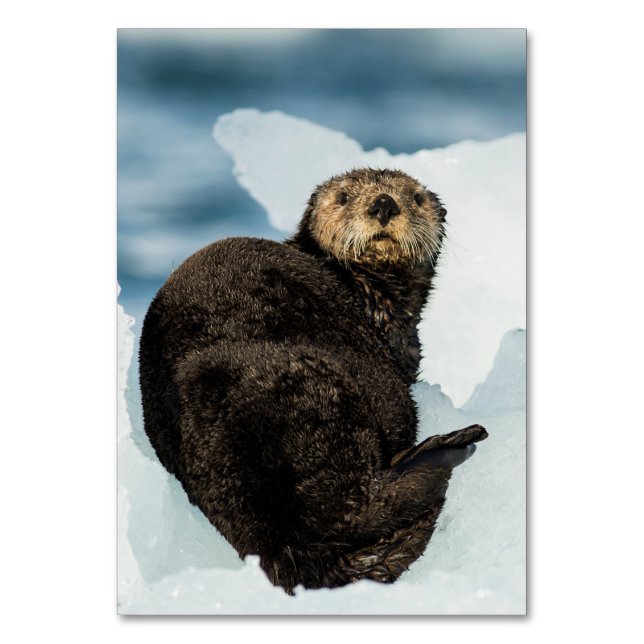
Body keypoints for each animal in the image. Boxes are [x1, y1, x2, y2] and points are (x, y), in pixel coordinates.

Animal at [139, 168, 487, 593]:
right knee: (364, 503)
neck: (370, 294)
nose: (384, 204)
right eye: (343, 197)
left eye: (416, 198)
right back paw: (451, 446)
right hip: (326, 398)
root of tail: (280, 544)